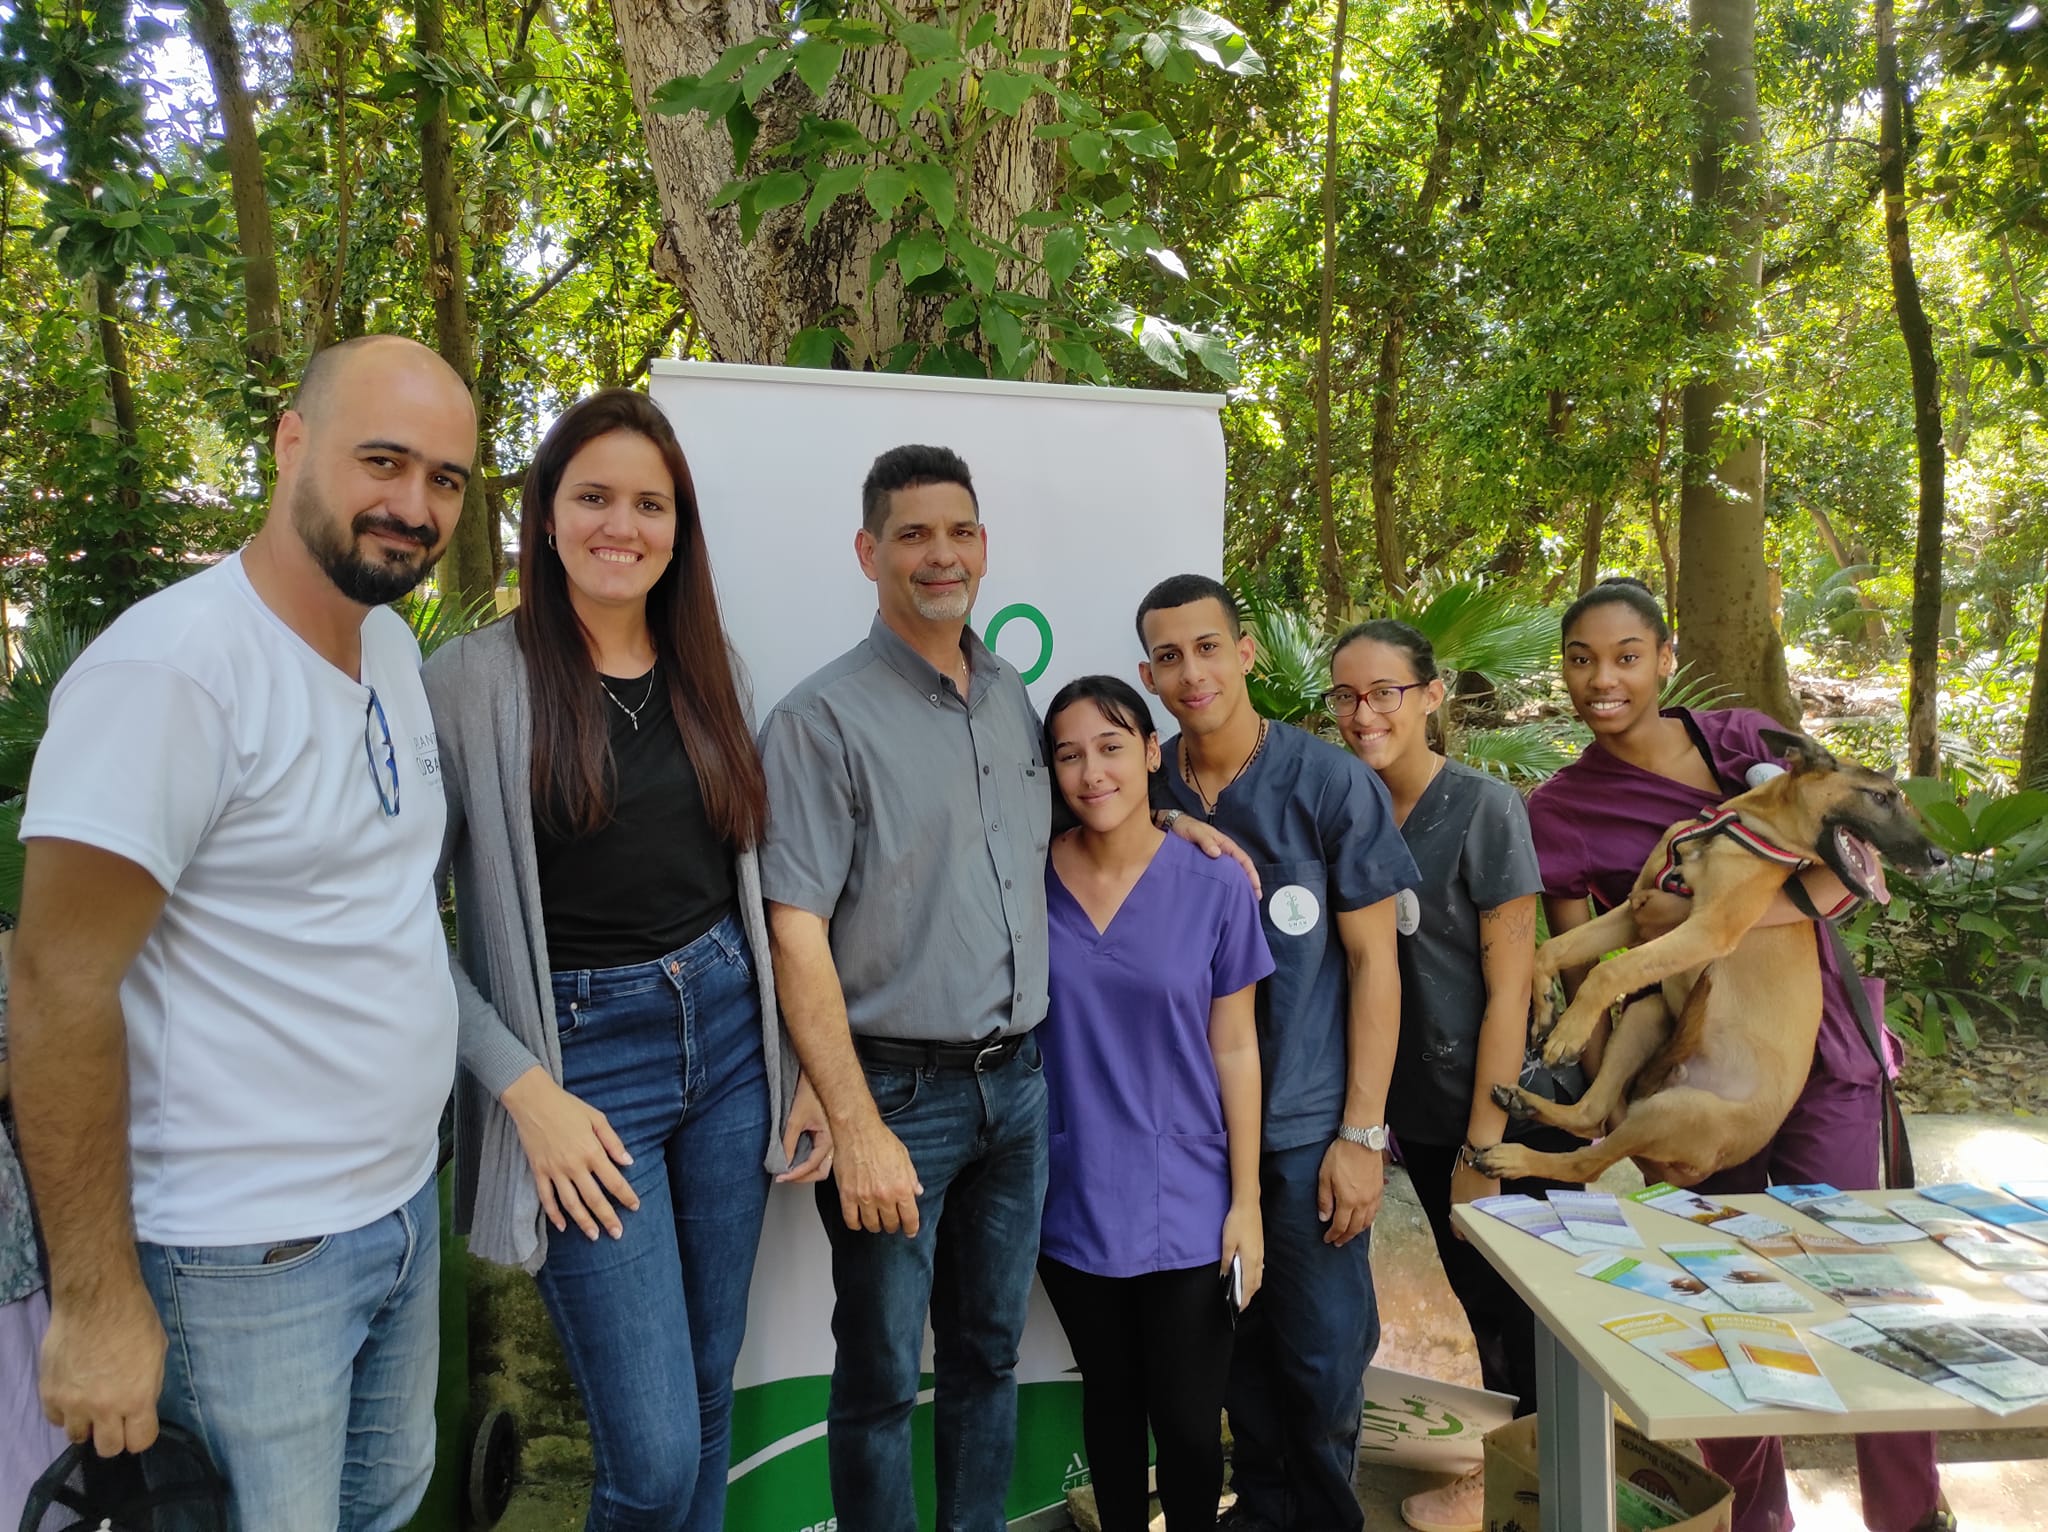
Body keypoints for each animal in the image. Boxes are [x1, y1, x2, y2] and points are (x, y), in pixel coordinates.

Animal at [1482, 729, 1941, 1187]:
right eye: (1880, 797)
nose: (1939, 858)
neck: (1728, 832)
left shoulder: (1706, 930)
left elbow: (1609, 971)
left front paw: (1569, 1032)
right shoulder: (1636, 910)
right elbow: (1551, 949)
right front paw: (1544, 1007)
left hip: (1674, 1111)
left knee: (1588, 1162)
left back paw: (1515, 1158)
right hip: (1645, 1016)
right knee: (1590, 1115)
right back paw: (1524, 1103)